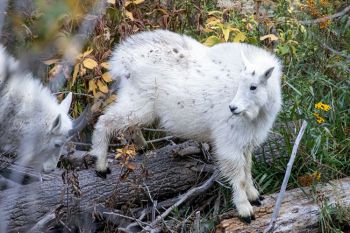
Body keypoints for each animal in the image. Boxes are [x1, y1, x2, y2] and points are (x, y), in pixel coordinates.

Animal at [90, 29, 282, 222]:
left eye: (253, 86)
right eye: (241, 84)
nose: (232, 108)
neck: (256, 113)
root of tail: (124, 59)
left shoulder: (246, 141)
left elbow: (247, 169)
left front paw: (255, 196)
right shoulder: (229, 141)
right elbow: (239, 175)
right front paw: (245, 210)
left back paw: (141, 146)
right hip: (138, 103)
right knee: (105, 120)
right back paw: (101, 165)